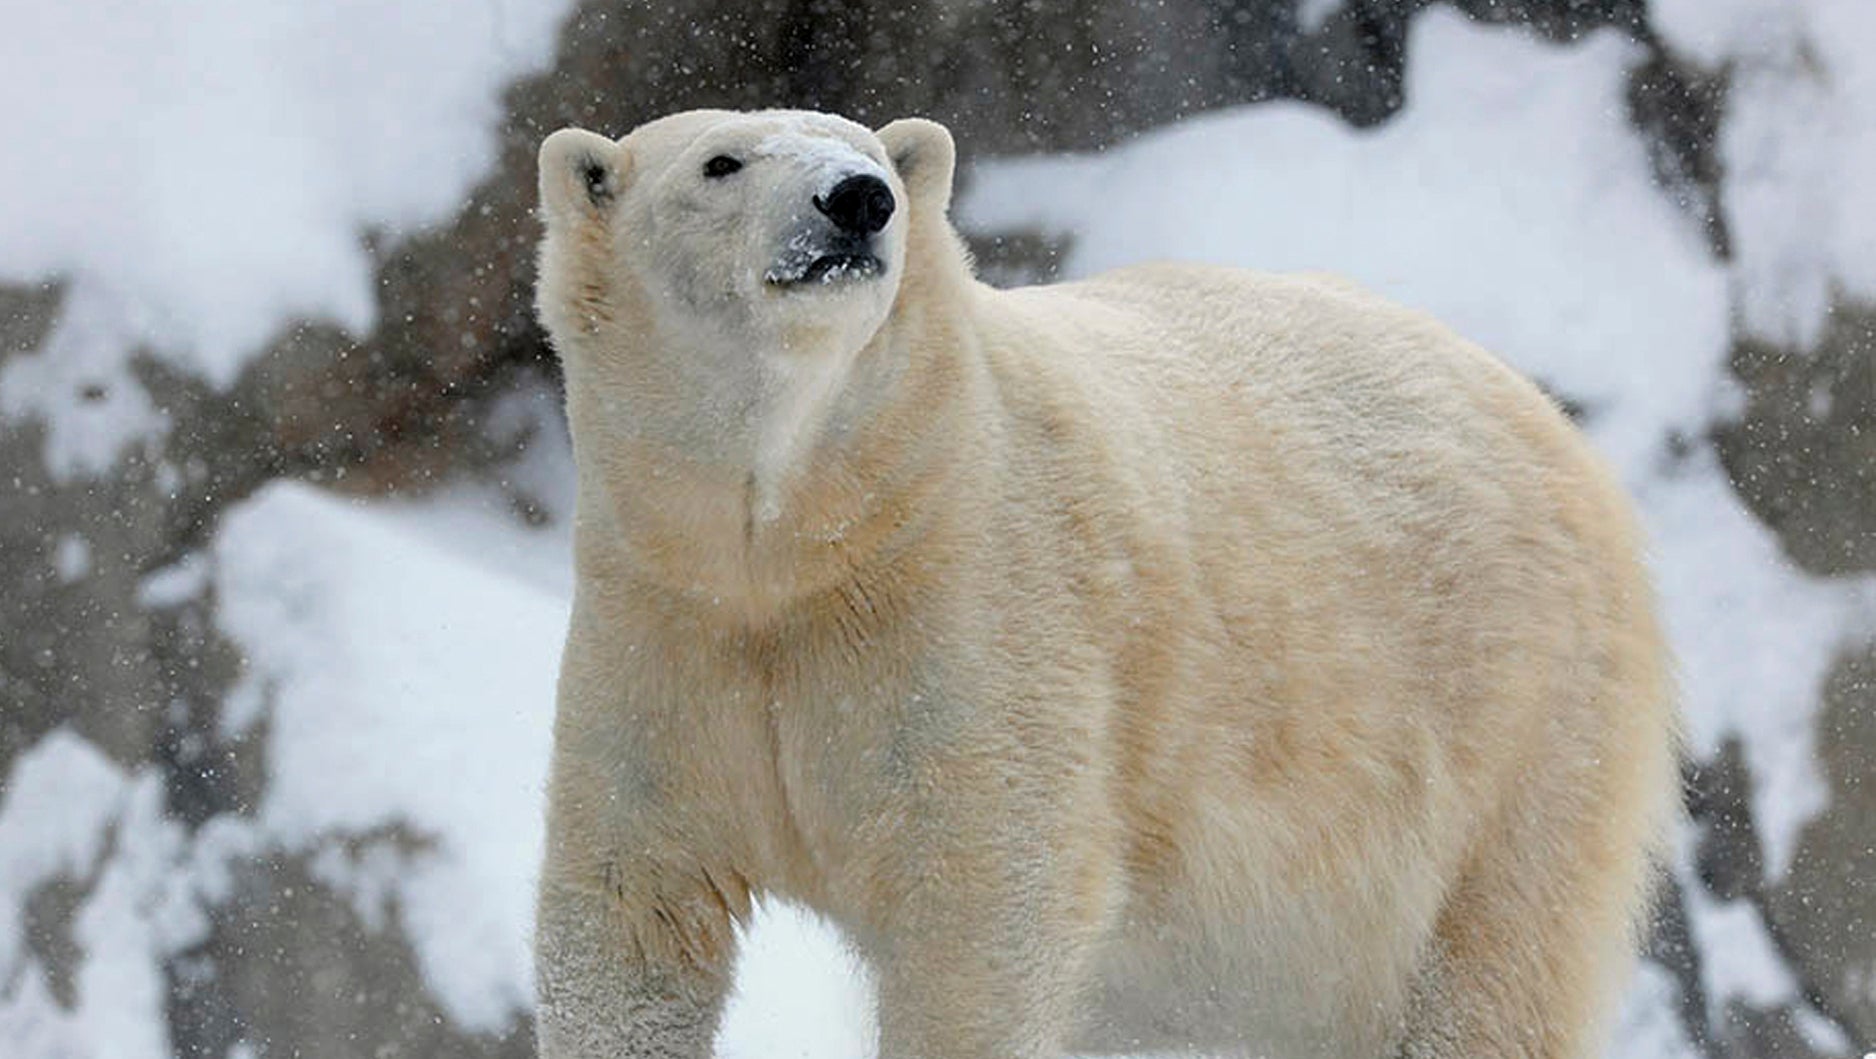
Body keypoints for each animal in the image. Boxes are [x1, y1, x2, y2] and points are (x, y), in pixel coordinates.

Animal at [531, 108, 1681, 1059]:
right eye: (720, 162)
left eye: (870, 154)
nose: (857, 200)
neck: (806, 539)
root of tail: (1558, 435)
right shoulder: (666, 628)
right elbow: (631, 909)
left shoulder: (976, 614)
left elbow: (982, 905)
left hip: (1513, 750)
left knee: (1488, 982)